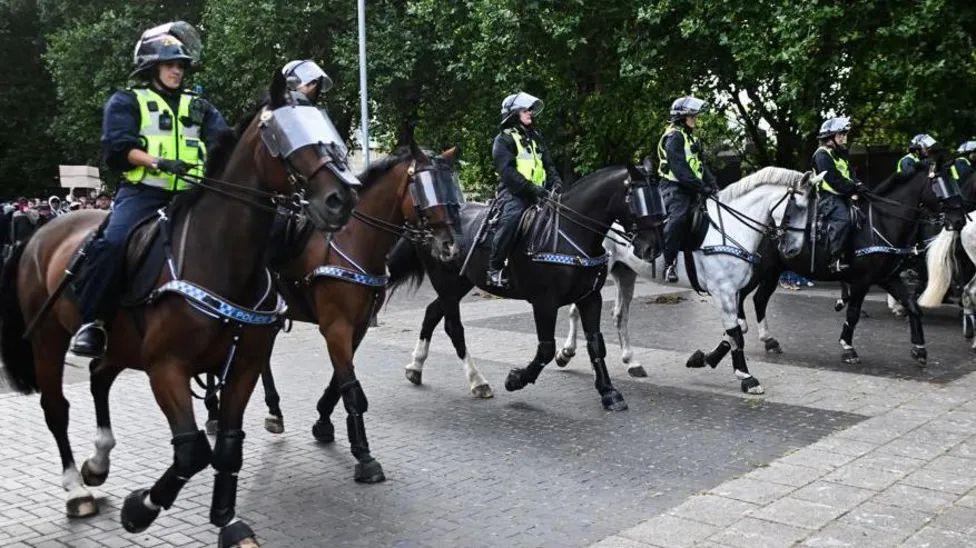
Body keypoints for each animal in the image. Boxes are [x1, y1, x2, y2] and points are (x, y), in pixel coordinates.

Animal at [0, 68, 358, 548]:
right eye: (280, 134)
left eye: (327, 128)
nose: (343, 198)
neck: (221, 258)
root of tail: (39, 233)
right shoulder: (167, 366)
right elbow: (191, 452)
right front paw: (140, 509)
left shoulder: (243, 365)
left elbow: (228, 445)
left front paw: (227, 520)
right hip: (47, 339)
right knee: (56, 407)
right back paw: (76, 488)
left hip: (121, 345)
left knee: (98, 377)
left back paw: (98, 462)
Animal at [221, 143, 466, 482]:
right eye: (423, 187)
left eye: (451, 185)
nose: (450, 247)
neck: (352, 239)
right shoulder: (336, 326)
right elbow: (350, 385)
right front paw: (363, 454)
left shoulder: (358, 326)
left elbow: (340, 379)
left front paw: (323, 421)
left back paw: (272, 411)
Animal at [386, 167, 664, 412]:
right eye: (637, 198)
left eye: (658, 195)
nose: (652, 248)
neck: (567, 234)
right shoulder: (544, 303)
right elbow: (546, 349)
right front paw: (516, 379)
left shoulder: (590, 298)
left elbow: (596, 344)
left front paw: (609, 392)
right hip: (446, 283)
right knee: (453, 327)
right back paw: (477, 381)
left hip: (460, 284)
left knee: (432, 312)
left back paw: (415, 367)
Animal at [556, 167, 816, 394]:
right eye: (797, 207)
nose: (793, 250)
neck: (730, 228)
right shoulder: (722, 291)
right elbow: (735, 333)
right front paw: (746, 377)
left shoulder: (733, 292)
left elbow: (735, 330)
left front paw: (704, 359)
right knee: (576, 311)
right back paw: (566, 352)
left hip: (625, 272)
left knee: (620, 315)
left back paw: (631, 362)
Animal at [736, 169, 964, 366]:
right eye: (939, 186)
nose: (959, 220)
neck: (882, 223)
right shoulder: (862, 281)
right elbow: (853, 314)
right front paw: (848, 347)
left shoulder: (887, 278)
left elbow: (913, 306)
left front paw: (919, 348)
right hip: (760, 269)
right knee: (743, 293)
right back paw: (742, 326)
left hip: (772, 272)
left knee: (759, 299)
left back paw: (769, 340)